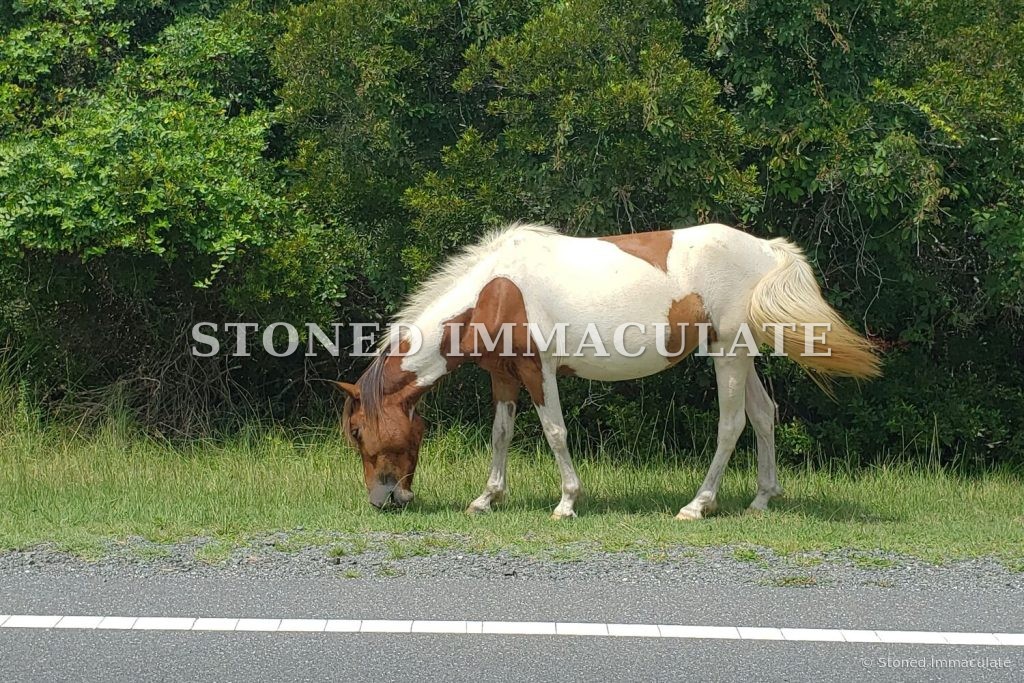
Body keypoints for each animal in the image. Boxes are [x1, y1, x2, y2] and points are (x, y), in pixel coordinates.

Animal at [335, 222, 880, 519]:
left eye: (358, 430)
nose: (383, 499)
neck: (496, 291)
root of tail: (765, 248)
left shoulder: (538, 370)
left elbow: (555, 432)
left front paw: (566, 502)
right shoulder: (503, 376)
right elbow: (500, 435)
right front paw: (487, 498)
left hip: (729, 353)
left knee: (732, 425)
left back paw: (698, 504)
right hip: (739, 355)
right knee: (765, 416)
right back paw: (762, 499)